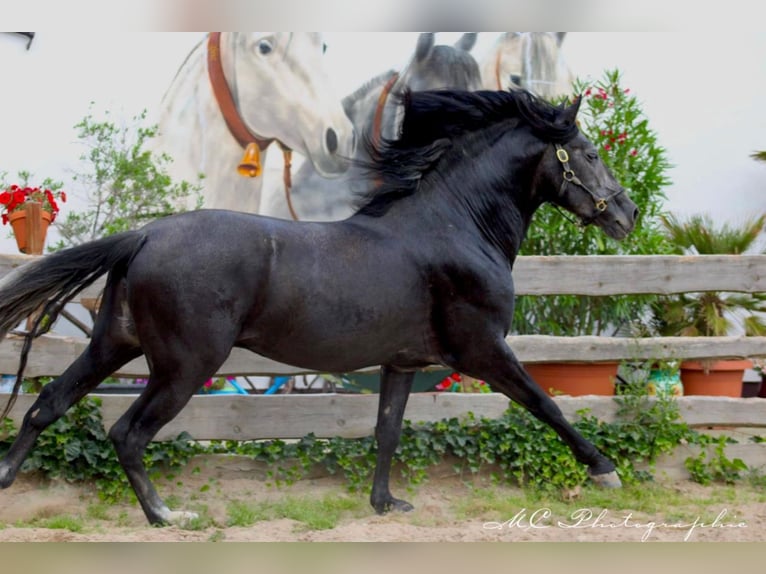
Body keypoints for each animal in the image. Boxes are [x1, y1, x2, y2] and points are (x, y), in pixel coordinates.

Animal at [0, 89, 640, 528]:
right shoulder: (482, 350)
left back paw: (8, 480)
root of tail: (145, 236)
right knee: (126, 434)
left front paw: (386, 503)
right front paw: (605, 469)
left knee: (46, 404)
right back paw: (166, 517)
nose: (627, 213)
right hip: (183, 367)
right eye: (587, 153)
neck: (456, 225)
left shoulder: (402, 362)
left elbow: (387, 430)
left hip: (115, 344)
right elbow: (546, 402)